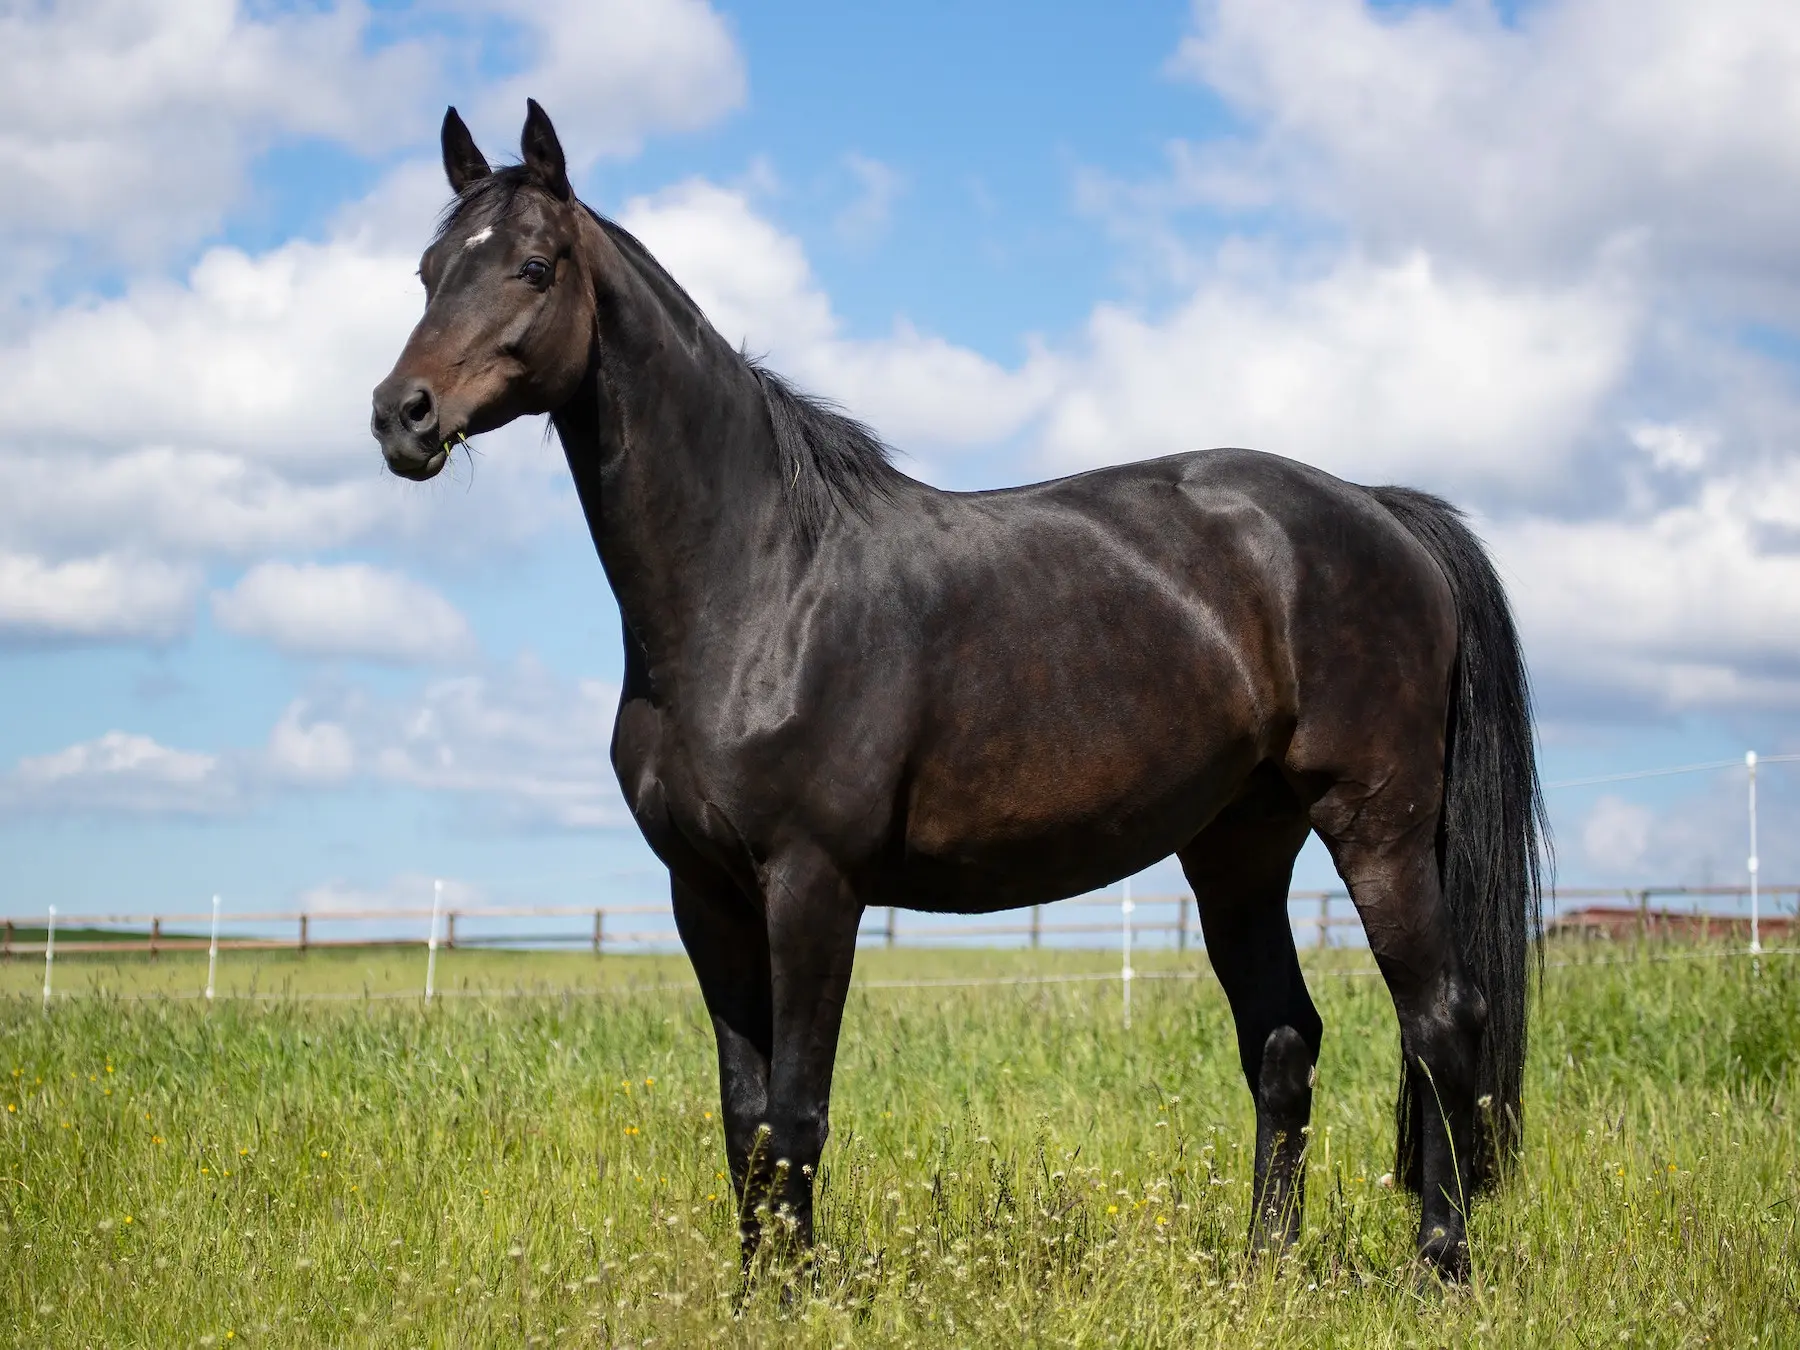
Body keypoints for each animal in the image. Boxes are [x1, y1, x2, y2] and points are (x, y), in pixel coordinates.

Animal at [369, 97, 1548, 1281]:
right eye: (428, 271)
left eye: (532, 266)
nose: (400, 415)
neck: (761, 583)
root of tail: (1380, 509)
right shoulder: (702, 893)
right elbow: (744, 1122)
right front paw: (754, 1293)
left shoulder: (813, 883)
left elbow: (796, 1117)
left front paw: (796, 1297)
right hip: (1239, 847)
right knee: (1283, 1039)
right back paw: (1264, 1271)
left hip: (1376, 826)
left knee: (1441, 1023)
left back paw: (1440, 1264)